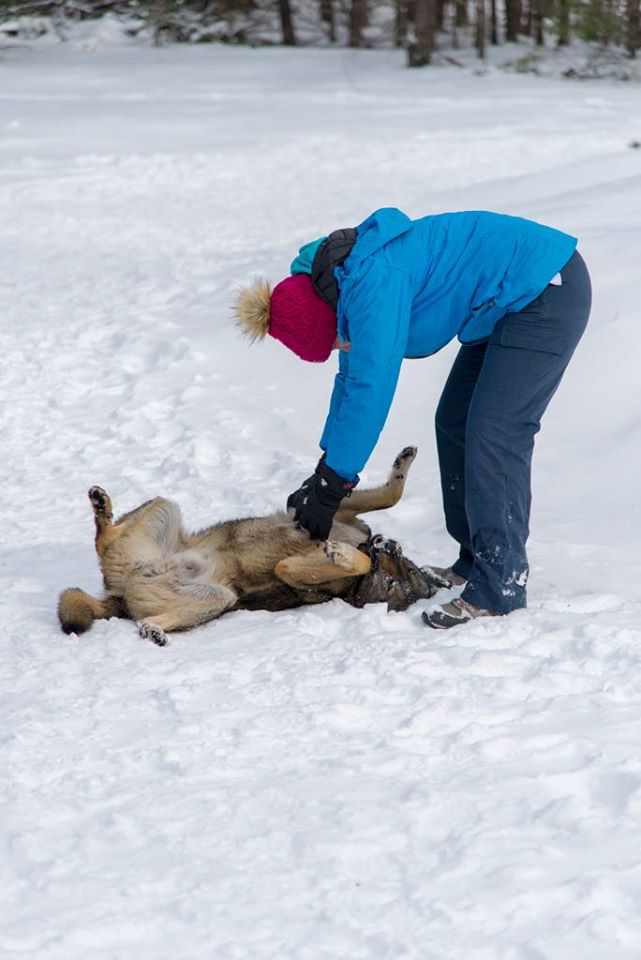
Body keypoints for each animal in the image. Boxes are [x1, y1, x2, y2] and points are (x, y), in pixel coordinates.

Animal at [57, 444, 438, 644]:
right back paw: (101, 504)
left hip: (220, 598)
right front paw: (404, 461)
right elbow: (389, 495)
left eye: (399, 580)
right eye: (409, 568)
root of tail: (118, 593)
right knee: (104, 536)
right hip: (166, 506)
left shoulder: (294, 571)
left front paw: (342, 554)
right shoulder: (337, 513)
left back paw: (153, 630)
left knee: (138, 606)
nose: (388, 546)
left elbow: (343, 558)